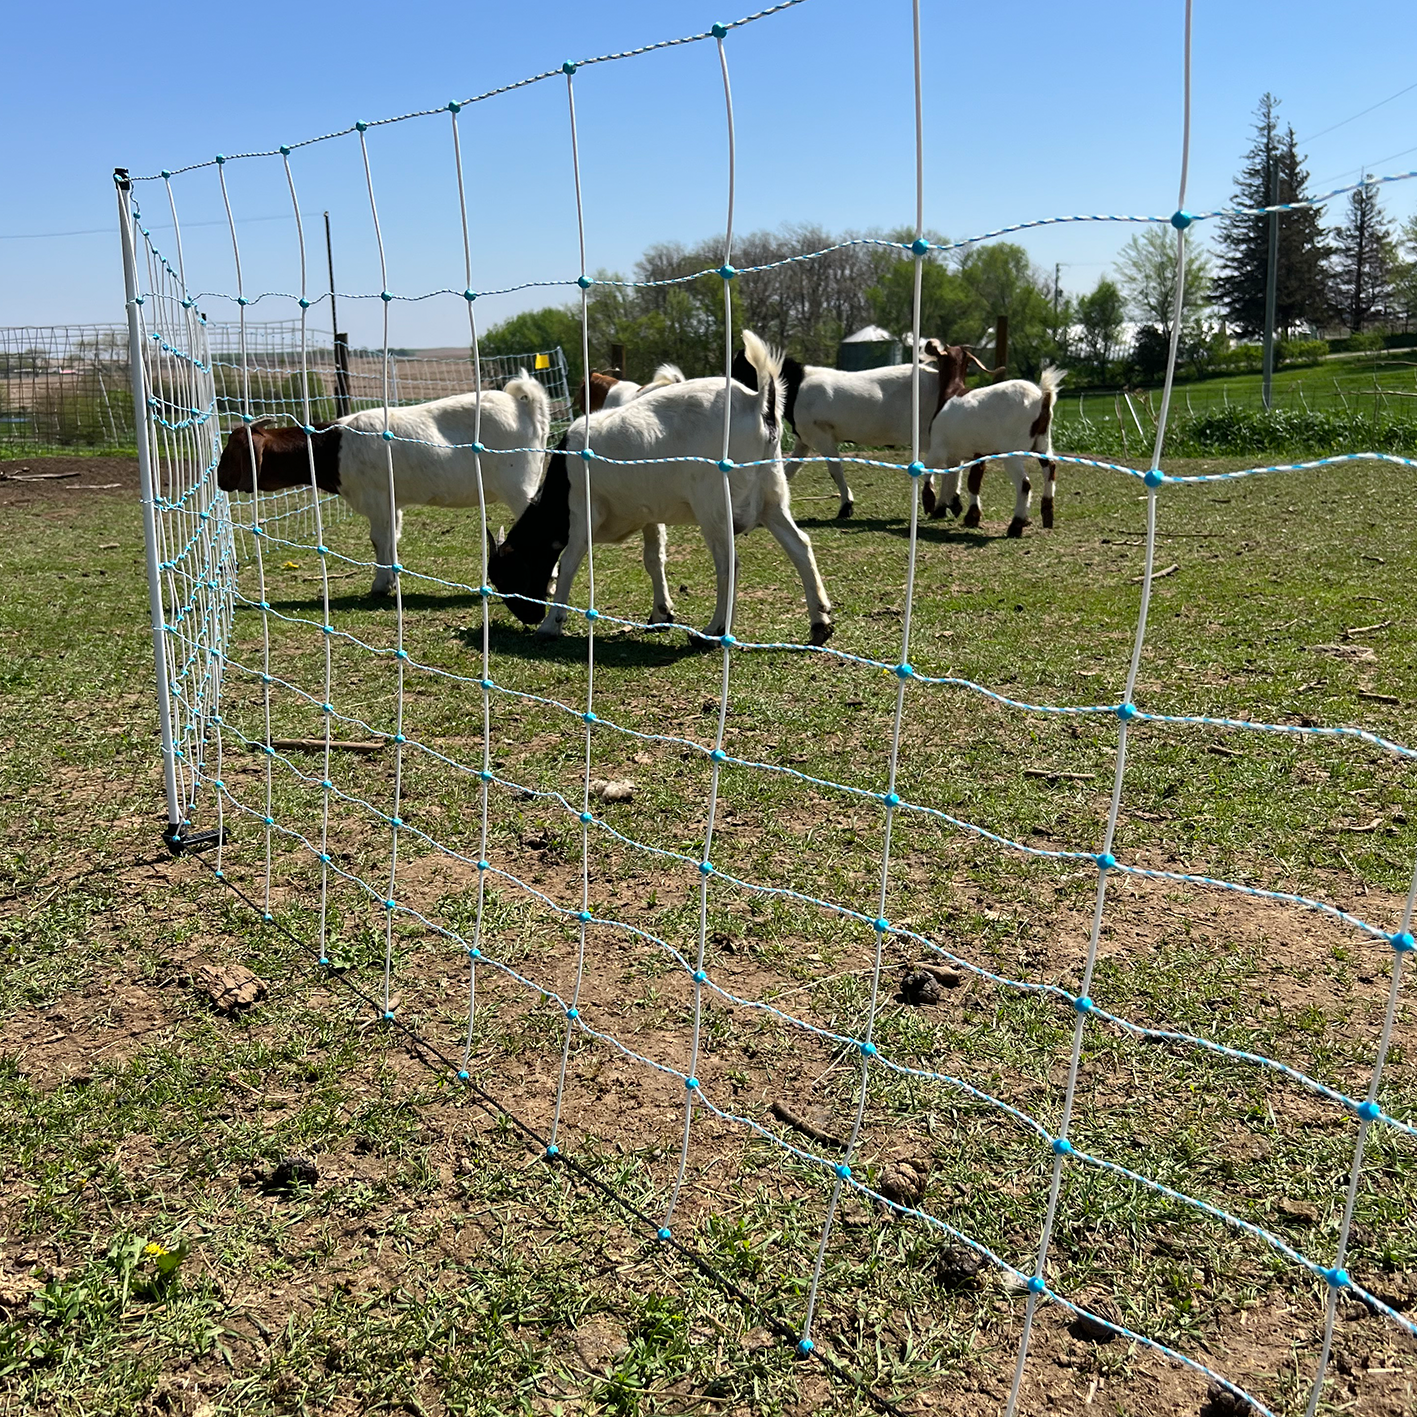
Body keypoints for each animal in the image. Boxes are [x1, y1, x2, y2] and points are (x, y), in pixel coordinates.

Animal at [216, 377, 551, 595]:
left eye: (231, 450)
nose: (219, 479)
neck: (330, 447)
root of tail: (524, 406)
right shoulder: (391, 502)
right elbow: (391, 539)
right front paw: (390, 580)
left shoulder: (375, 499)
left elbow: (378, 540)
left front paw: (379, 585)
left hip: (518, 485)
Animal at [487, 332, 832, 646]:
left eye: (507, 575)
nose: (529, 617)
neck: (562, 481)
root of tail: (758, 402)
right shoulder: (648, 515)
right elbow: (653, 558)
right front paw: (660, 614)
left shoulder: (585, 511)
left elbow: (570, 560)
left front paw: (551, 624)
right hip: (772, 495)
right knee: (800, 545)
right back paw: (819, 625)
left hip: (714, 505)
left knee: (728, 562)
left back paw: (712, 632)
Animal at [922, 367, 1066, 537]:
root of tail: (1042, 398)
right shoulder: (974, 454)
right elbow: (966, 480)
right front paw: (959, 510)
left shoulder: (938, 448)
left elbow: (928, 468)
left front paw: (931, 503)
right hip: (1043, 444)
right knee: (1050, 470)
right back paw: (1047, 515)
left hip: (1012, 452)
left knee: (1025, 484)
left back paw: (1016, 525)